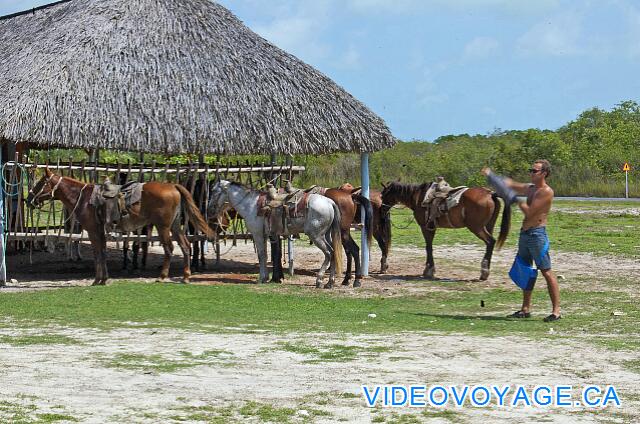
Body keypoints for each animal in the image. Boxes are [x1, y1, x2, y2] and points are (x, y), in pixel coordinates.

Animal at [26, 169, 215, 284]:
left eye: (41, 182)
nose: (28, 199)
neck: (83, 198)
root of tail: (173, 186)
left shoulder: (93, 231)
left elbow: (97, 253)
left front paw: (98, 279)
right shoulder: (99, 231)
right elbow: (102, 252)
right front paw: (103, 279)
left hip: (163, 227)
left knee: (169, 249)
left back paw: (162, 277)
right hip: (175, 226)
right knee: (185, 246)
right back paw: (186, 277)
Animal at [208, 180, 342, 288]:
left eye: (214, 191)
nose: (210, 209)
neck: (250, 204)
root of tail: (329, 202)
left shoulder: (257, 234)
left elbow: (261, 255)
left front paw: (261, 278)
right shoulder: (265, 235)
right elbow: (265, 255)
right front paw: (266, 277)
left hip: (316, 235)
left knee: (329, 253)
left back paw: (319, 281)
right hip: (326, 235)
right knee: (333, 252)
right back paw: (330, 283)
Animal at [380, 181, 510, 280]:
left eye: (383, 195)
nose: (381, 209)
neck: (418, 198)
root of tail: (490, 193)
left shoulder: (425, 227)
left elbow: (428, 247)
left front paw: (429, 271)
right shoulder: (431, 227)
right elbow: (430, 247)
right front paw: (429, 269)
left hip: (477, 227)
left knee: (490, 241)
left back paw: (484, 271)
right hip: (488, 226)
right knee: (490, 244)